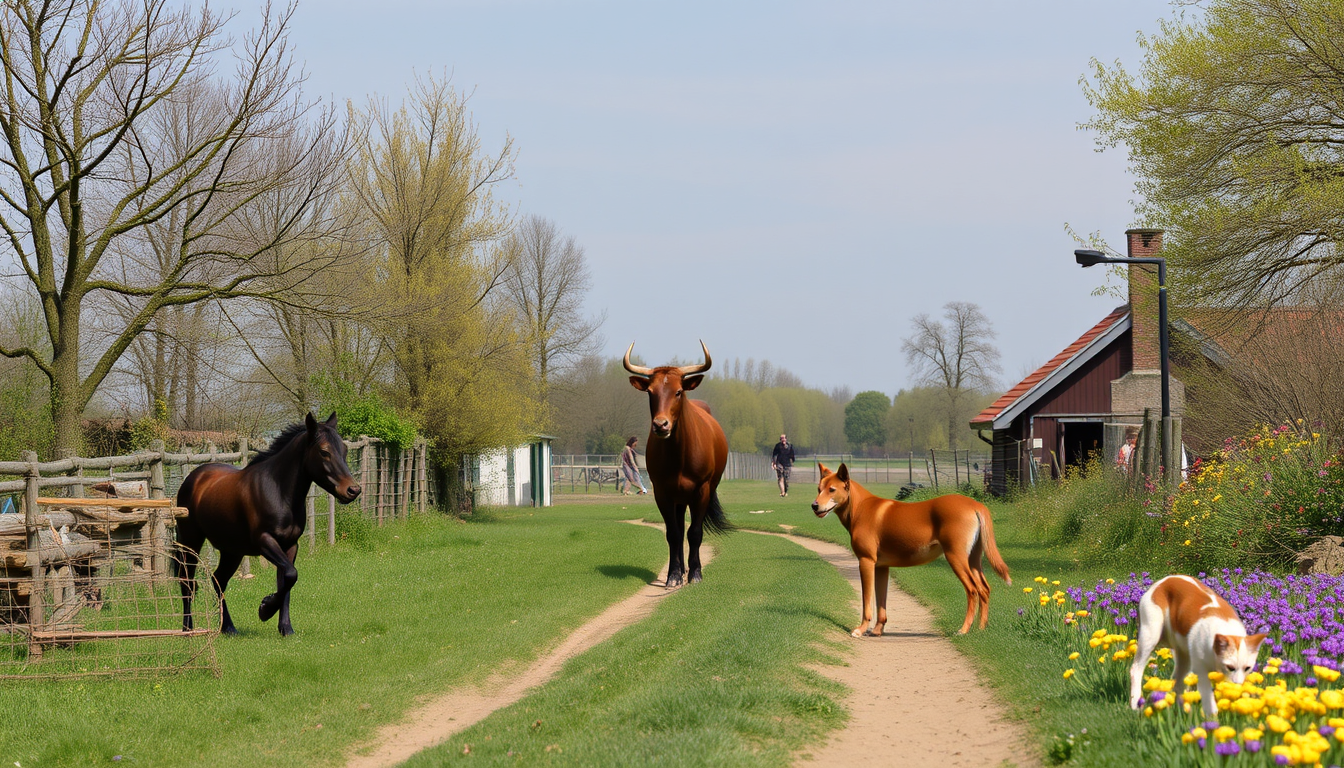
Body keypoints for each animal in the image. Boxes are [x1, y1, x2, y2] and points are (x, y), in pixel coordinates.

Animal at [624, 340, 731, 588]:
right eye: (650, 392)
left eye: (678, 391)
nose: (661, 425)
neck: (679, 454)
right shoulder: (662, 492)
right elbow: (673, 533)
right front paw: (674, 574)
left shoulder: (701, 491)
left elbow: (695, 532)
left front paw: (696, 572)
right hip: (678, 497)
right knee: (679, 528)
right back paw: (680, 569)